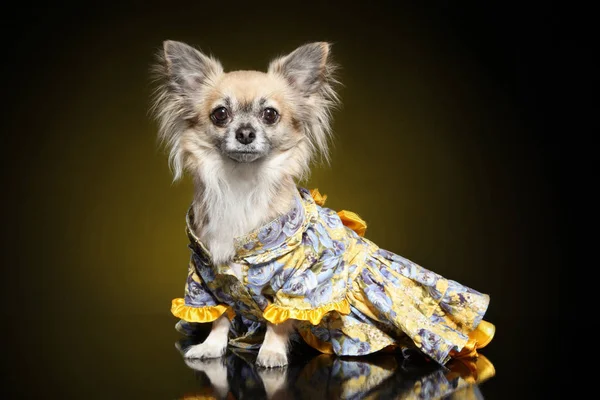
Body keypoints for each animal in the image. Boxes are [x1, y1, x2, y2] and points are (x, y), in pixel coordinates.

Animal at [152, 39, 494, 368]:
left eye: (270, 115)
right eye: (220, 114)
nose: (245, 133)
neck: (243, 184)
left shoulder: (298, 281)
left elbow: (280, 318)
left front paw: (271, 353)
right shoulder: (206, 279)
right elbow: (220, 315)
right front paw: (211, 346)